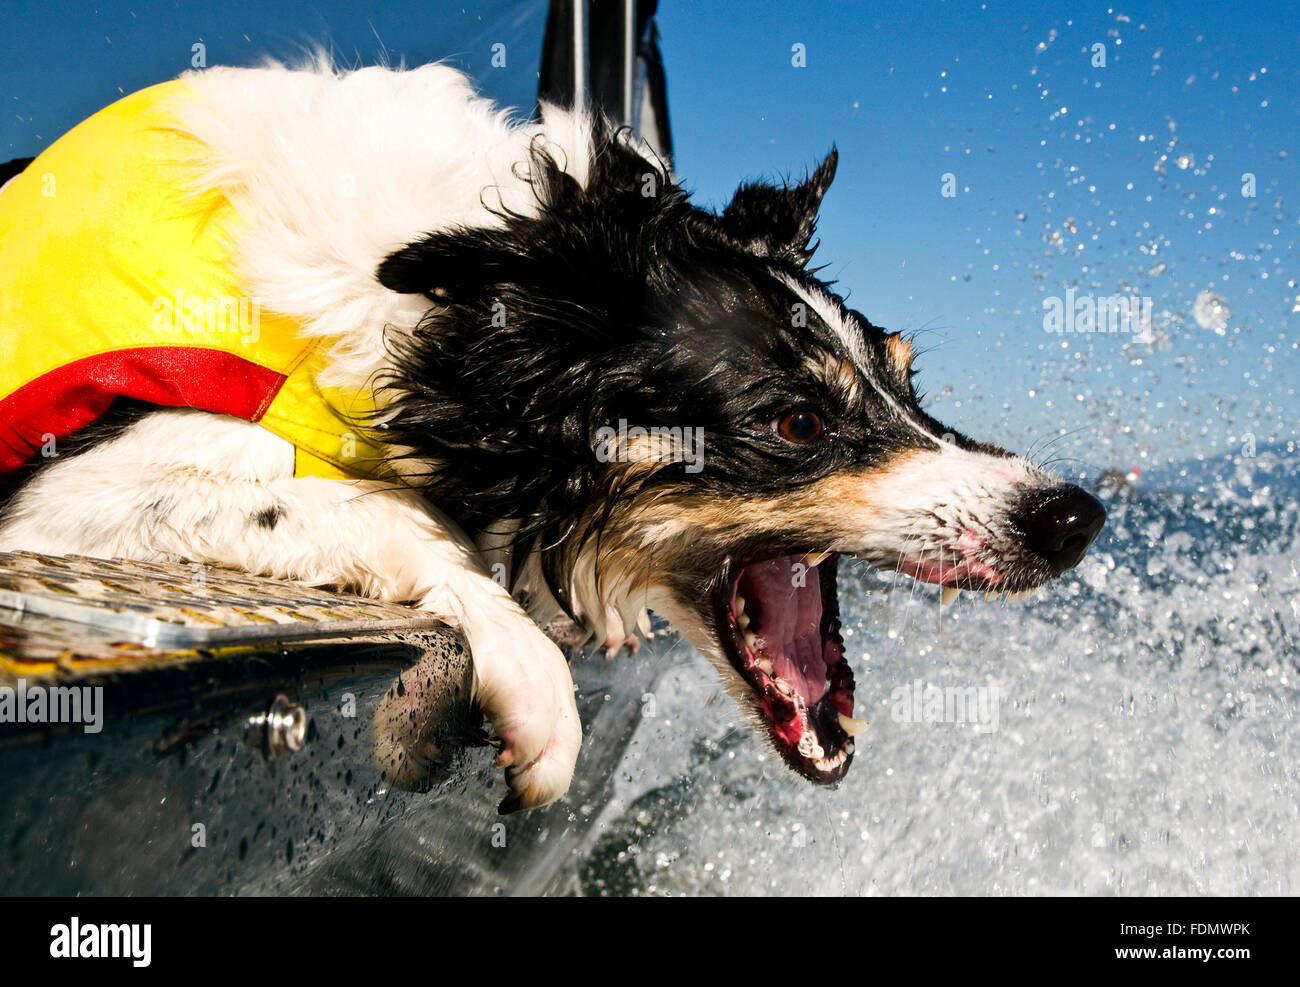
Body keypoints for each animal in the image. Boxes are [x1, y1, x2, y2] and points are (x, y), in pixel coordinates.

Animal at [0, 61, 1107, 811]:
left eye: (907, 381)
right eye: (797, 421)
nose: (1074, 516)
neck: (444, 326)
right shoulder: (60, 499)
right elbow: (377, 512)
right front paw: (531, 677)